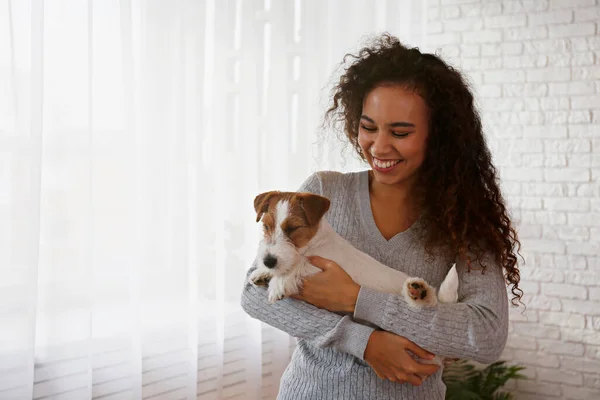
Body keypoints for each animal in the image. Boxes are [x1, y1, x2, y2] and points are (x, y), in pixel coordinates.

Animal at [248, 191, 460, 310]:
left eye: (292, 228)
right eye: (266, 226)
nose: (267, 261)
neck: (317, 243)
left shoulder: (324, 264)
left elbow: (301, 264)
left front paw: (278, 283)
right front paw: (263, 273)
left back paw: (421, 292)